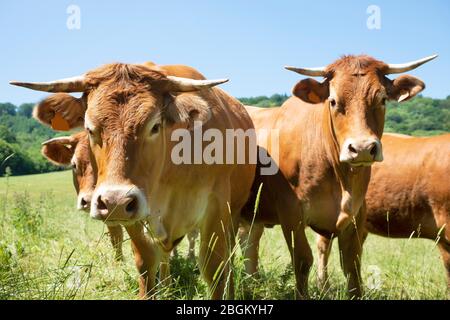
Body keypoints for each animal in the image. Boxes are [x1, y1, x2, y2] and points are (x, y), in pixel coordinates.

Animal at [10, 62, 255, 300]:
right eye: (90, 128)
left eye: (155, 126)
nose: (114, 201)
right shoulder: (135, 214)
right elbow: (146, 262)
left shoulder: (217, 208)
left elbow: (216, 269)